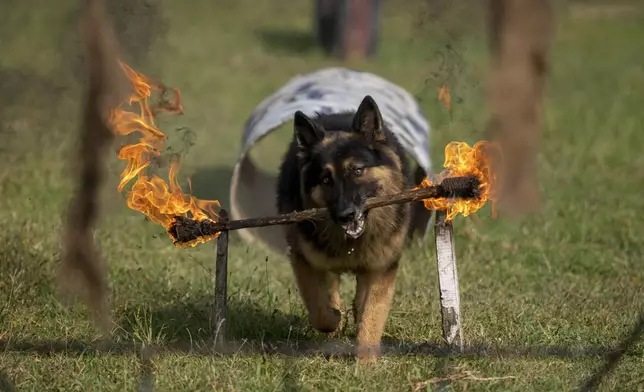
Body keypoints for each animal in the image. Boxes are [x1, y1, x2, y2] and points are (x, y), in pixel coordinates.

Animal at [274, 94, 410, 362]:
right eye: (326, 179)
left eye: (357, 170)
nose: (345, 216)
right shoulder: (305, 261)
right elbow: (320, 310)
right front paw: (335, 319)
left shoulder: (380, 269)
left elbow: (372, 313)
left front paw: (366, 362)